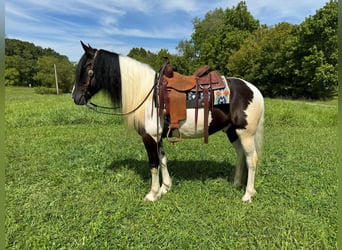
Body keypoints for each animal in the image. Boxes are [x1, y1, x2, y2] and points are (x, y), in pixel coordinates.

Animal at [72, 40, 264, 201]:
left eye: (86, 69)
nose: (75, 97)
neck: (147, 94)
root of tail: (254, 89)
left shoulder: (149, 137)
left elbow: (153, 163)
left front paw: (152, 194)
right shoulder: (158, 136)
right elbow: (163, 160)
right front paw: (165, 188)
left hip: (246, 133)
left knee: (251, 159)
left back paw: (248, 195)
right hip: (232, 131)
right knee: (241, 155)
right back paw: (237, 184)